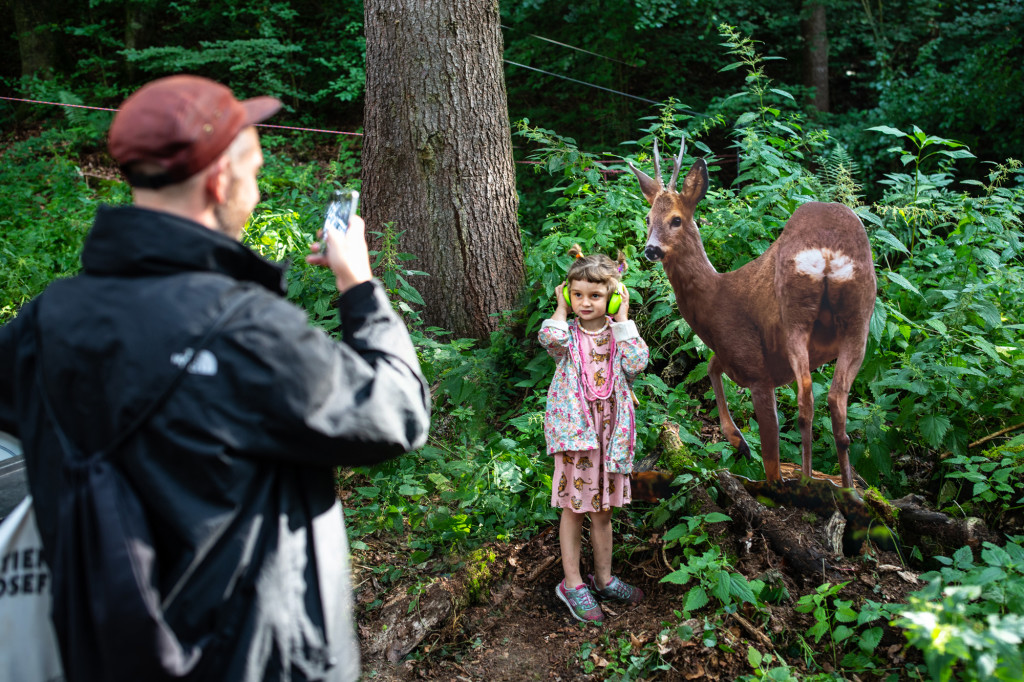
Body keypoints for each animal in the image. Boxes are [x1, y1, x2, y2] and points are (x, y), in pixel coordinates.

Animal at [626, 140, 876, 485]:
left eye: (676, 219)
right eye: (649, 218)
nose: (651, 249)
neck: (716, 297)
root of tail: (826, 253)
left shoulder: (755, 367)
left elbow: (770, 452)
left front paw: (750, 452)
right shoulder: (741, 358)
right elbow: (711, 366)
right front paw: (739, 442)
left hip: (795, 316)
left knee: (806, 399)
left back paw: (807, 481)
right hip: (859, 318)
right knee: (835, 400)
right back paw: (845, 487)